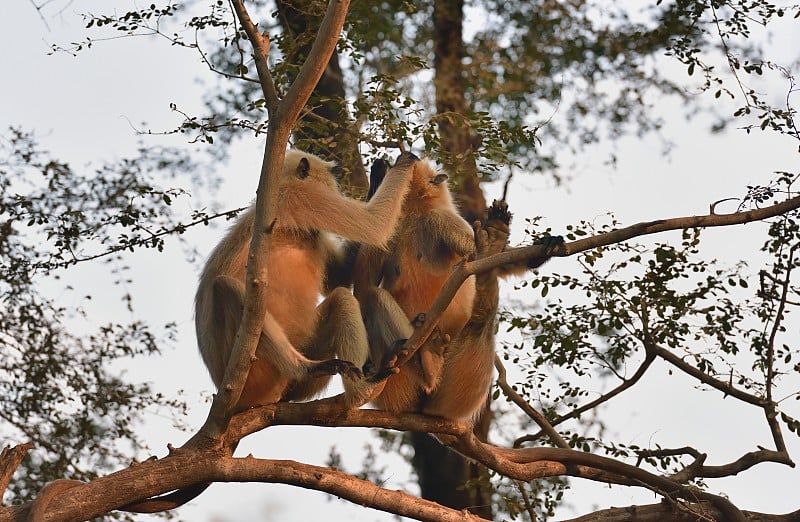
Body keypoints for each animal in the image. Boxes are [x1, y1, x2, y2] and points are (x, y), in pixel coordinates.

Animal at [356, 156, 564, 420]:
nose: (384, 165)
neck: (415, 215)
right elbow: (362, 282)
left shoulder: (443, 220)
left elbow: (490, 260)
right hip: (399, 384)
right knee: (371, 296)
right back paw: (420, 359)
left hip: (458, 388)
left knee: (481, 316)